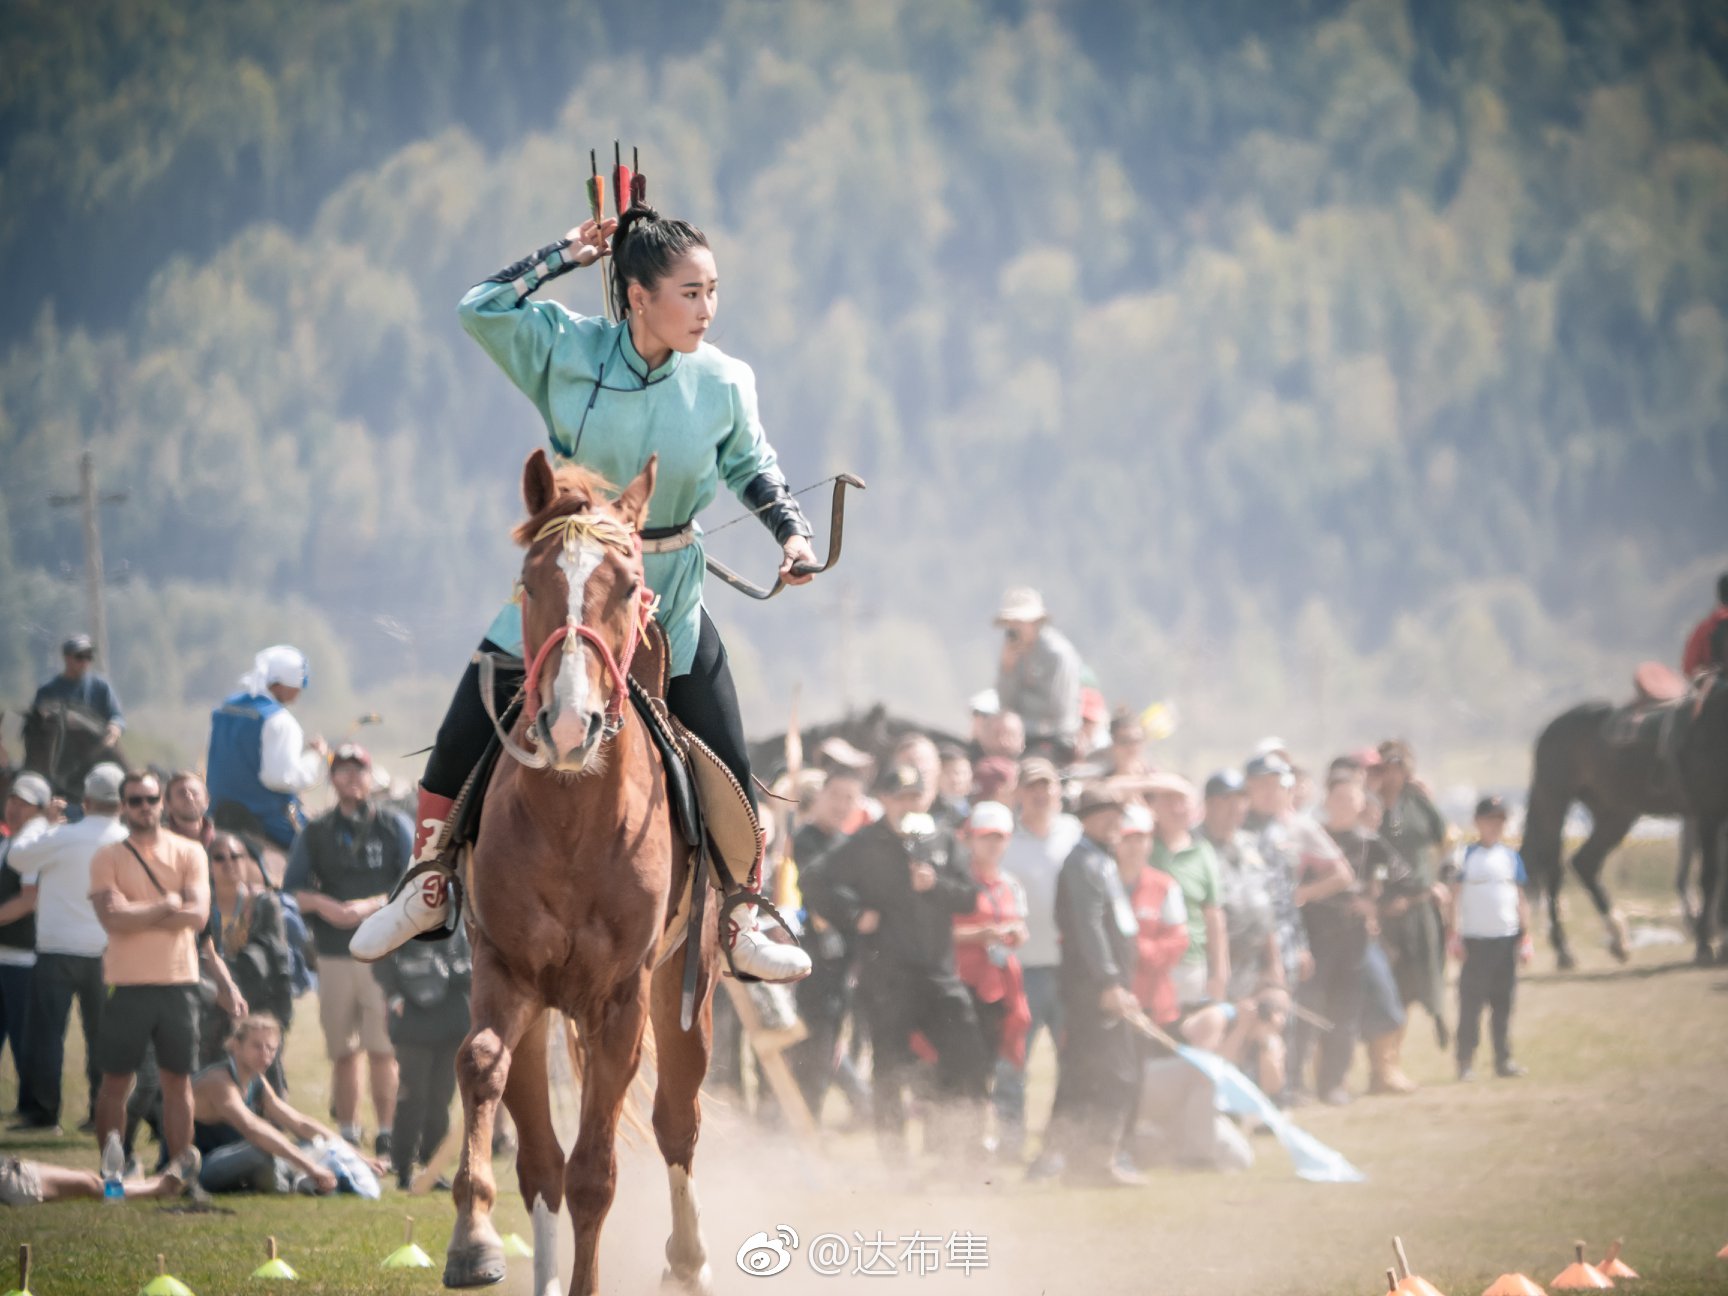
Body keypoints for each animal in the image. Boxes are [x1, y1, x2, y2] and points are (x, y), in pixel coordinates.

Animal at [445, 449, 722, 1296]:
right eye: (531, 582)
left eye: (628, 586)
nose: (569, 726)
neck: (573, 825)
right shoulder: (506, 972)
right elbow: (482, 1067)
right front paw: (473, 1239)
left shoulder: (622, 1000)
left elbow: (595, 1175)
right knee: (540, 1160)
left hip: (685, 987)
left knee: (676, 1124)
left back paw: (687, 1260)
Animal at [1527, 673, 1728, 967]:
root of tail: (1552, 727)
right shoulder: (1708, 812)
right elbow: (1711, 876)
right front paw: (1705, 945)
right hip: (1555, 800)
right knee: (1553, 868)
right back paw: (1564, 951)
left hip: (1617, 812)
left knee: (1586, 862)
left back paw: (1618, 939)